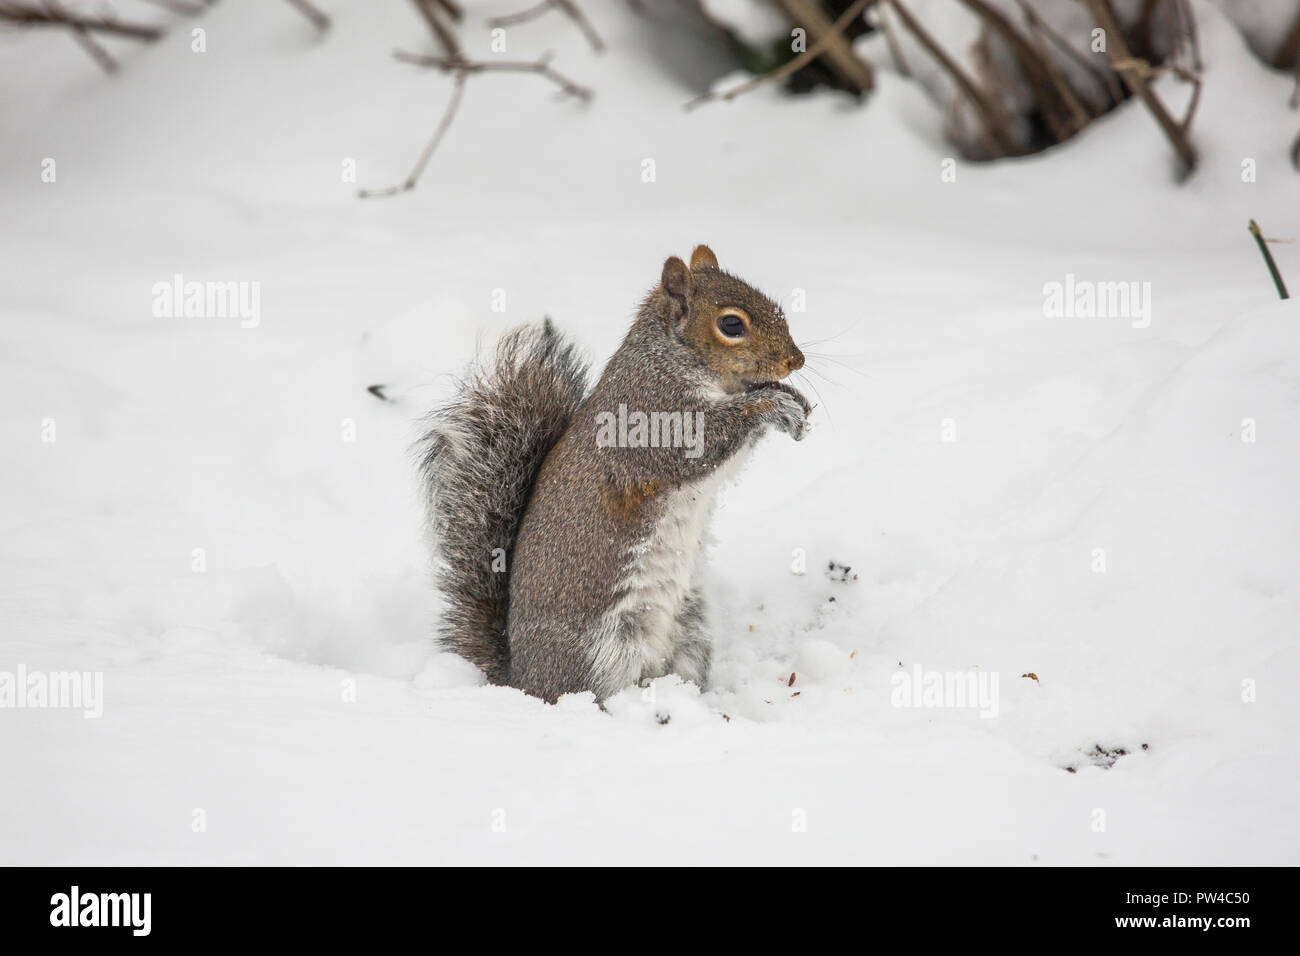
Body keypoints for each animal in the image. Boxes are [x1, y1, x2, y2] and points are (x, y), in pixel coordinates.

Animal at [416, 247, 806, 702]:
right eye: (731, 324)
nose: (796, 361)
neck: (671, 357)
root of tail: (521, 681)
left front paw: (789, 397)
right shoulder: (651, 416)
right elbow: (699, 444)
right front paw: (773, 404)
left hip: (692, 631)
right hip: (602, 649)